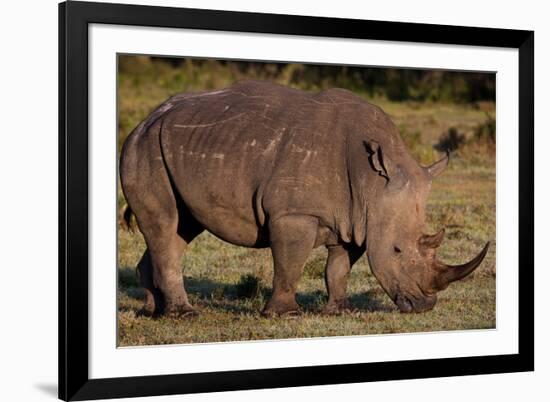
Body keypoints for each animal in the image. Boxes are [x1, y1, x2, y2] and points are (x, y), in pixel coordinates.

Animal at [119, 79, 488, 318]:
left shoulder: (357, 218)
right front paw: (284, 315)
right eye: (397, 250)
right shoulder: (294, 213)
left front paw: (340, 311)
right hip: (145, 147)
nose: (424, 306)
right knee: (166, 224)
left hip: (173, 147)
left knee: (180, 228)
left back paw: (152, 312)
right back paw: (184, 314)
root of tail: (146, 119)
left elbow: (339, 267)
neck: (372, 182)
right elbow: (290, 263)